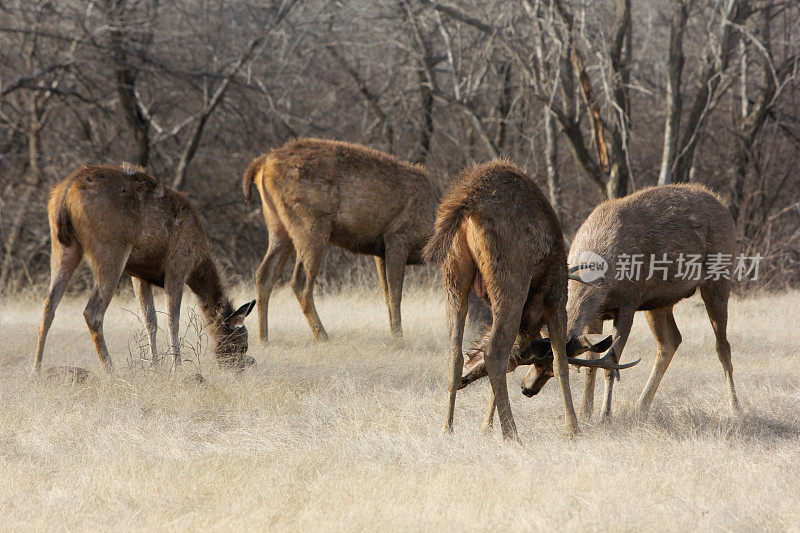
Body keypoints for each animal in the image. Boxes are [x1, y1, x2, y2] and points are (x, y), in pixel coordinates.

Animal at [32, 162, 253, 374]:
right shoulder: (178, 264)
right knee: (92, 311)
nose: (239, 368)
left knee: (48, 305)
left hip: (64, 246)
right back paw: (110, 370)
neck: (199, 260)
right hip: (110, 248)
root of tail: (65, 194)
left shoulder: (140, 275)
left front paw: (155, 367)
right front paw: (177, 367)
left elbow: (150, 320)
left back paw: (37, 370)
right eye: (243, 343)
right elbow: (173, 319)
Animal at [244, 138, 444, 340]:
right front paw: (398, 339)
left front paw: (394, 335)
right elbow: (396, 296)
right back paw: (323, 337)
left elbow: (387, 296)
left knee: (264, 274)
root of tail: (262, 164)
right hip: (310, 225)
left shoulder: (380, 251)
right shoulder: (398, 237)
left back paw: (263, 339)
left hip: (277, 225)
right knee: (300, 281)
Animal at [418, 159, 636, 440]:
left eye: (523, 361)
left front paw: (486, 426)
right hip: (511, 278)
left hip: (454, 274)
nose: (527, 389)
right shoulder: (554, 298)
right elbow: (562, 363)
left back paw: (448, 428)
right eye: (539, 365)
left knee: (455, 353)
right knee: (494, 352)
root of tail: (467, 203)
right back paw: (512, 435)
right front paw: (573, 429)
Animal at [460, 185, 740, 422]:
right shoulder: (598, 313)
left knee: (722, 345)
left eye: (551, 370)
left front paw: (605, 415)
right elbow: (593, 362)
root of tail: (723, 205)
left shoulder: (628, 303)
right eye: (537, 363)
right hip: (660, 302)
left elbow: (610, 362)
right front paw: (586, 413)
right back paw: (641, 407)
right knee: (670, 341)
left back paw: (735, 407)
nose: (526, 389)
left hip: (719, 276)